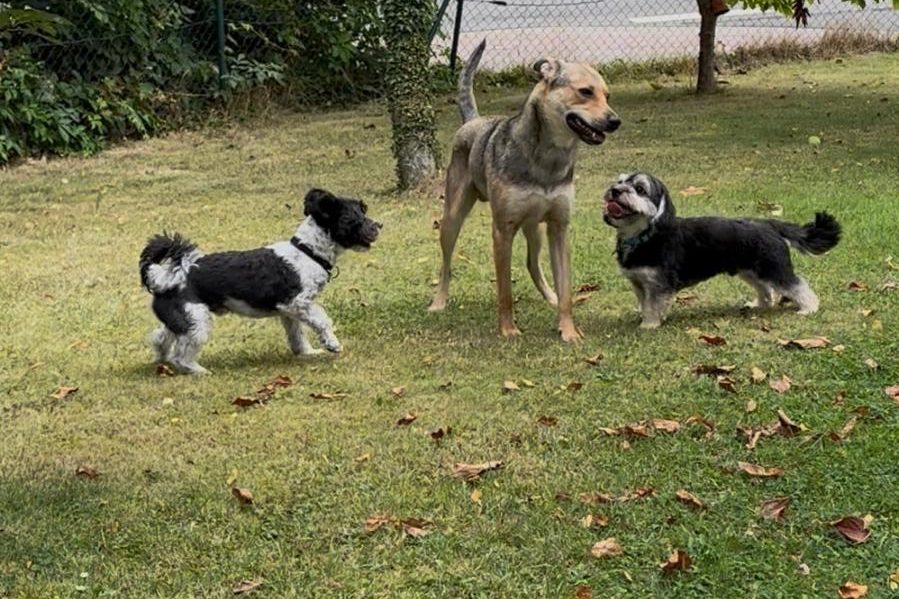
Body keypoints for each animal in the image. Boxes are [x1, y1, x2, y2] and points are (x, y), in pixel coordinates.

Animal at [138, 189, 381, 374]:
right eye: (355, 218)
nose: (379, 225)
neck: (307, 252)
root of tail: (169, 275)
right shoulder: (298, 303)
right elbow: (322, 321)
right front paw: (331, 343)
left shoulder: (289, 313)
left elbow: (297, 335)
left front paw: (307, 353)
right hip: (197, 322)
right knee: (181, 356)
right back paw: (197, 370)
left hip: (180, 319)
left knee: (160, 338)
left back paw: (163, 360)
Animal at [428, 40, 621, 342]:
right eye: (585, 92)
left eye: (607, 95)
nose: (615, 121)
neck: (547, 160)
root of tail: (472, 121)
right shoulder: (502, 231)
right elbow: (505, 290)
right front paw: (508, 330)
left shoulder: (559, 228)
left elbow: (565, 289)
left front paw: (568, 330)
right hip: (451, 220)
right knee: (446, 265)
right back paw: (439, 302)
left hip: (535, 229)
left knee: (533, 263)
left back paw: (551, 296)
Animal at [602, 172, 841, 328]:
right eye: (620, 181)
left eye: (640, 189)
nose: (614, 190)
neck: (645, 236)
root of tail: (769, 224)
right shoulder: (639, 283)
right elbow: (645, 304)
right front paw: (644, 317)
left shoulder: (659, 285)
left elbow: (653, 306)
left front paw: (649, 325)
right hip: (751, 271)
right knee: (766, 290)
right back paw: (759, 305)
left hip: (775, 269)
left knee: (798, 285)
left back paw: (809, 308)